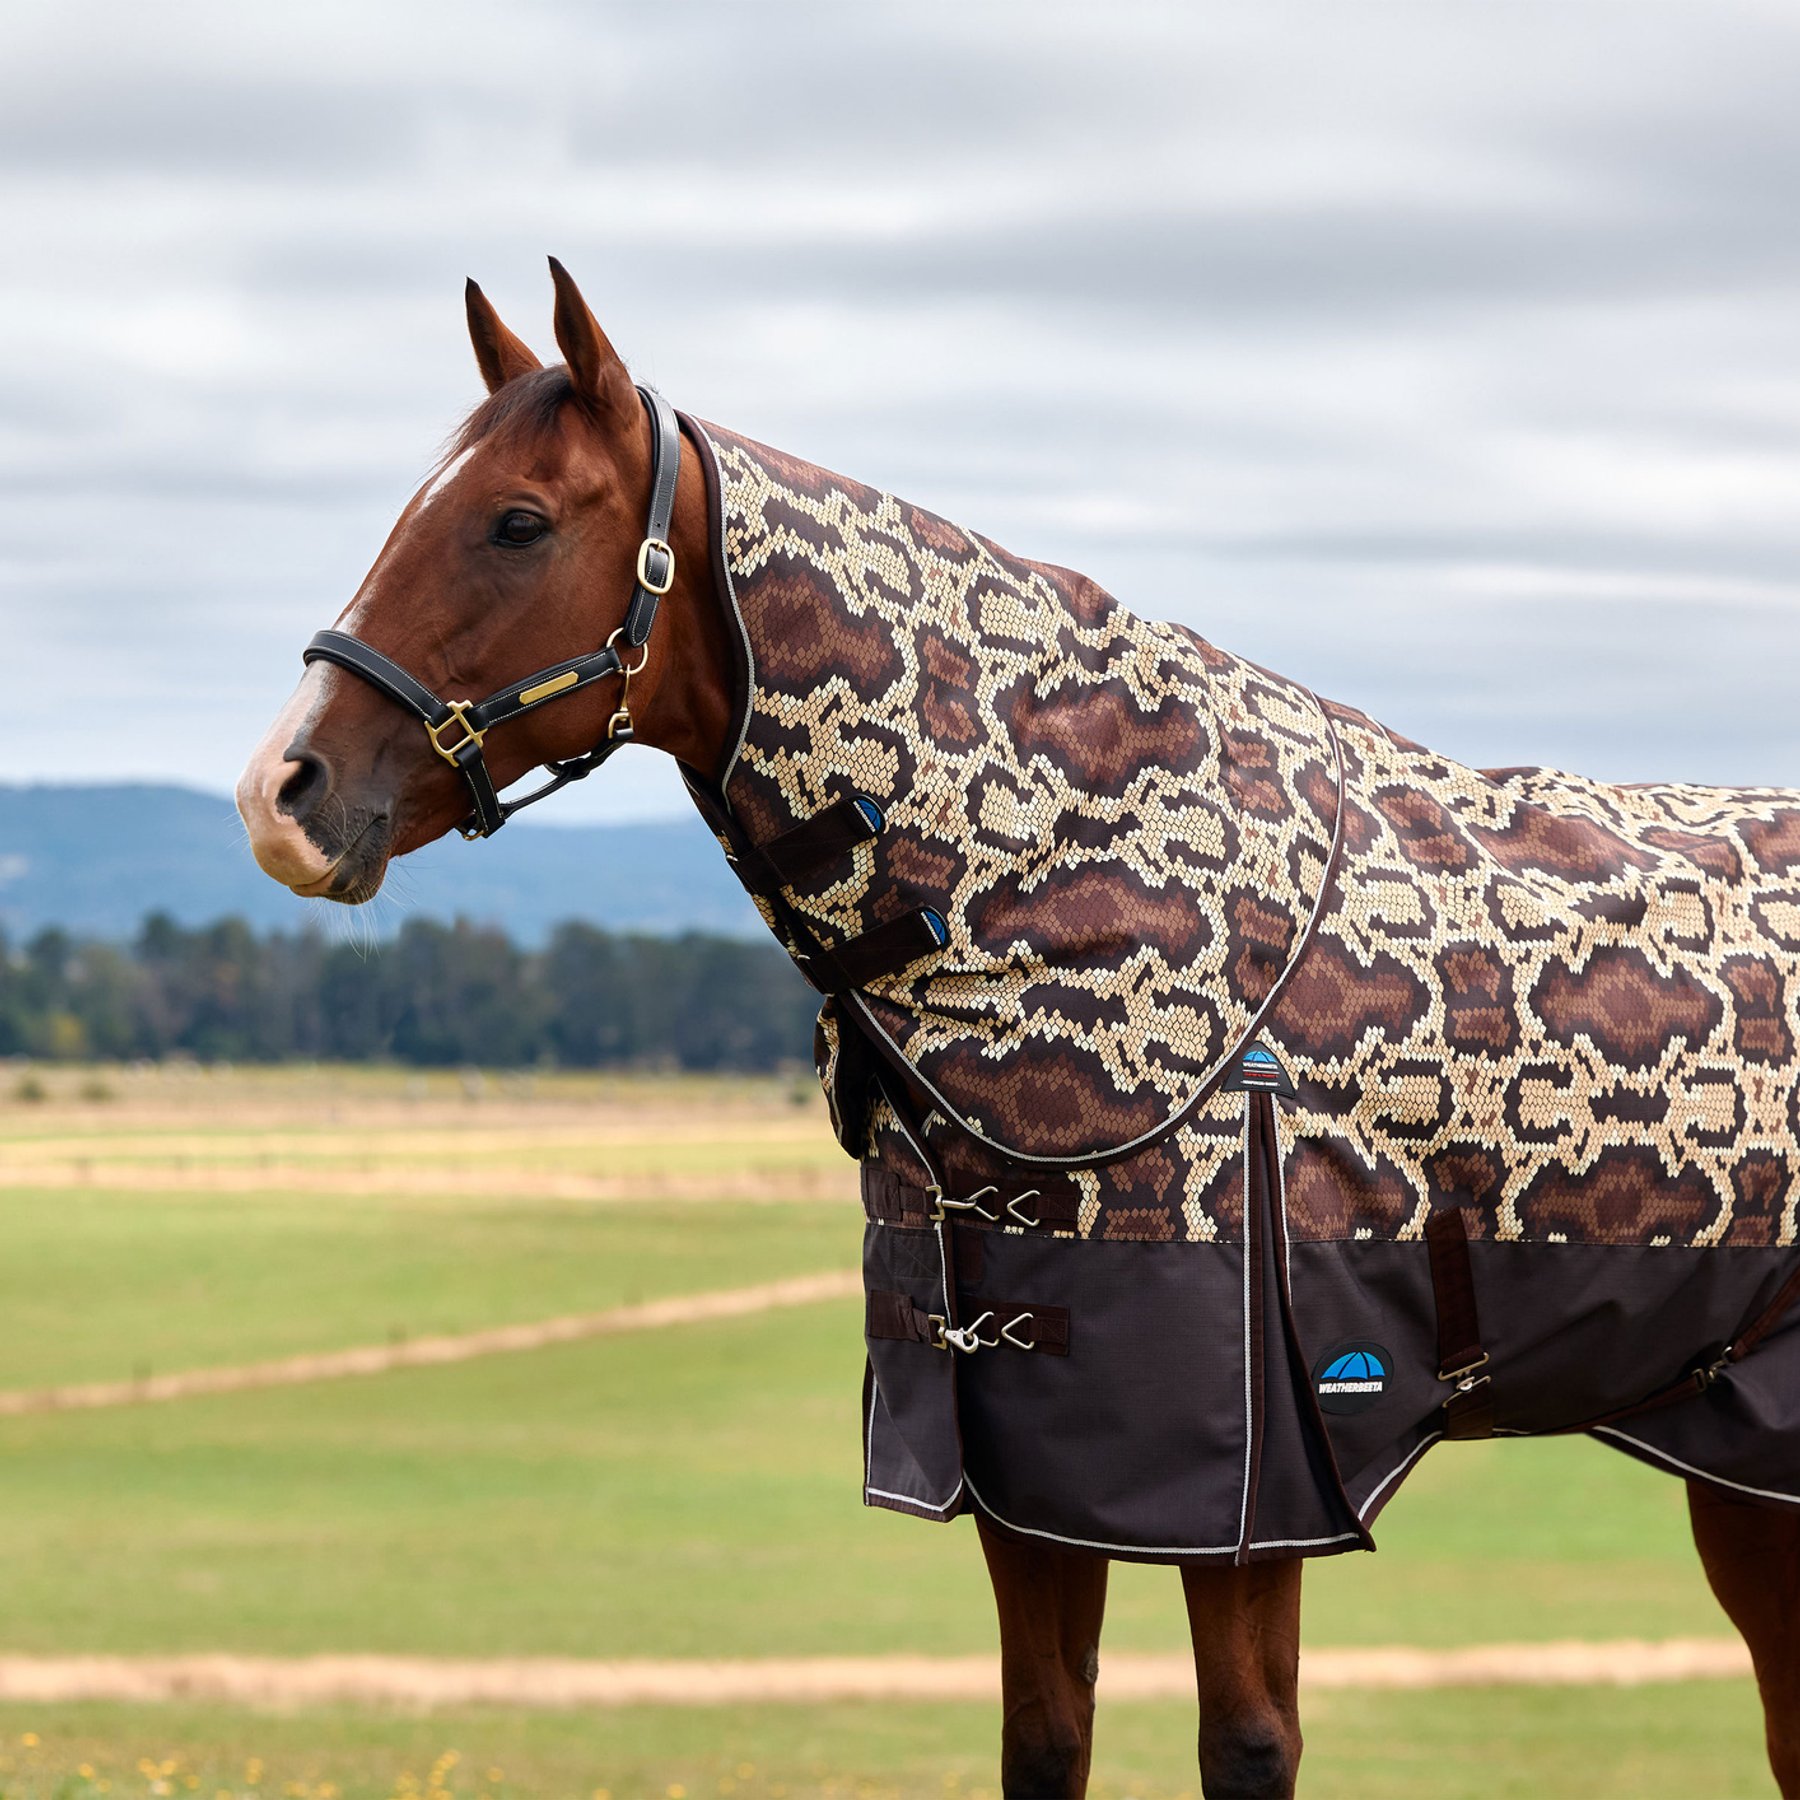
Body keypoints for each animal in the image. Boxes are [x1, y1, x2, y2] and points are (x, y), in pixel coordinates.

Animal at [237, 259, 1800, 1798]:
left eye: (517, 522)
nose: (282, 793)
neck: (1061, 885)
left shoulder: (1247, 1494)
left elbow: (1246, 1744)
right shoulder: (1028, 1468)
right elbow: (1045, 1736)